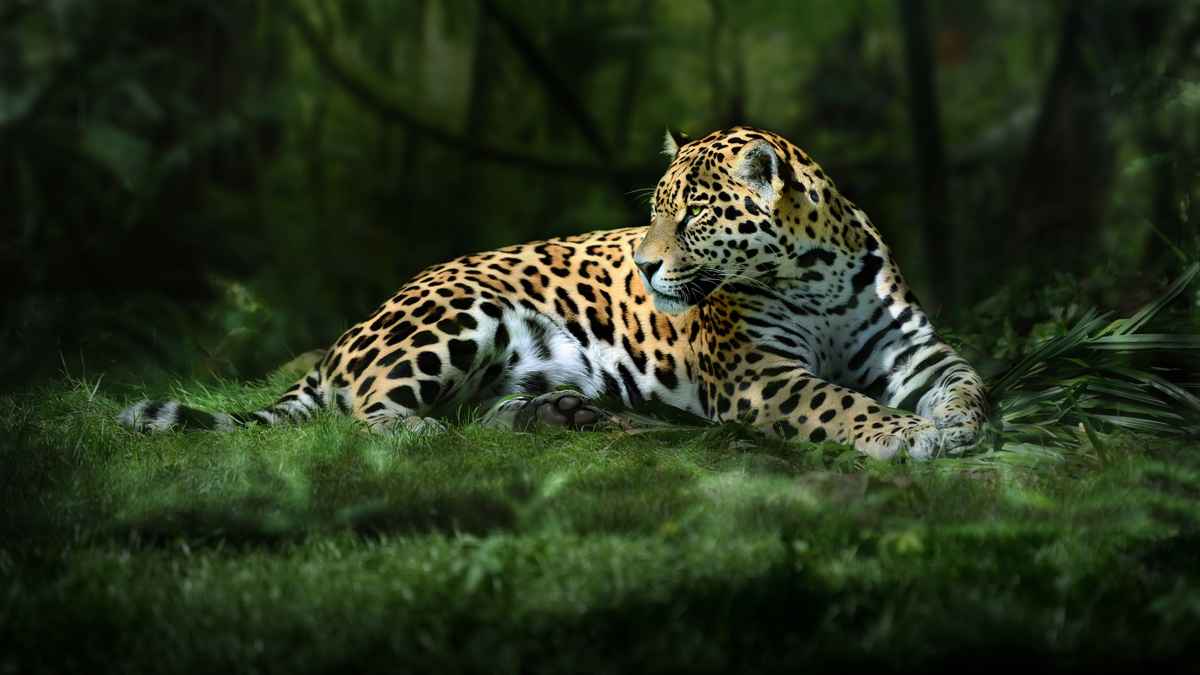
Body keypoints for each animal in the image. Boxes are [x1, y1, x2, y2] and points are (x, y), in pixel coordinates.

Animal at [119, 126, 989, 460]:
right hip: (456, 314)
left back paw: (560, 413)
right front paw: (904, 433)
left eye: (694, 216)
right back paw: (416, 430)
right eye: (653, 212)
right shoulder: (757, 374)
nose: (644, 264)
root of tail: (344, 338)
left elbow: (967, 377)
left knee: (477, 413)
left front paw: (957, 419)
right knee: (364, 413)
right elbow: (835, 401)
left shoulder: (911, 346)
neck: (814, 271)